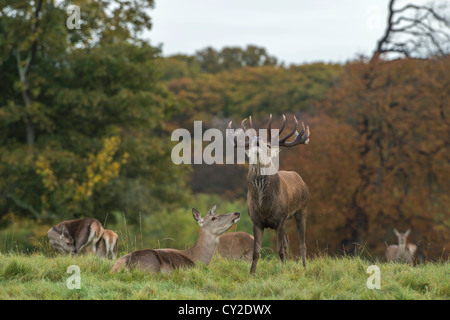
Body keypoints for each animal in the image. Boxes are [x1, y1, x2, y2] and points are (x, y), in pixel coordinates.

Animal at [227, 114, 312, 274]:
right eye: (250, 145)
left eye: (267, 145)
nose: (257, 140)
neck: (264, 206)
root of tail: (301, 179)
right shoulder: (257, 221)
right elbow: (256, 251)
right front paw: (252, 273)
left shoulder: (280, 219)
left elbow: (280, 250)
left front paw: (283, 271)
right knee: (287, 242)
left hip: (302, 209)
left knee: (302, 243)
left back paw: (304, 268)